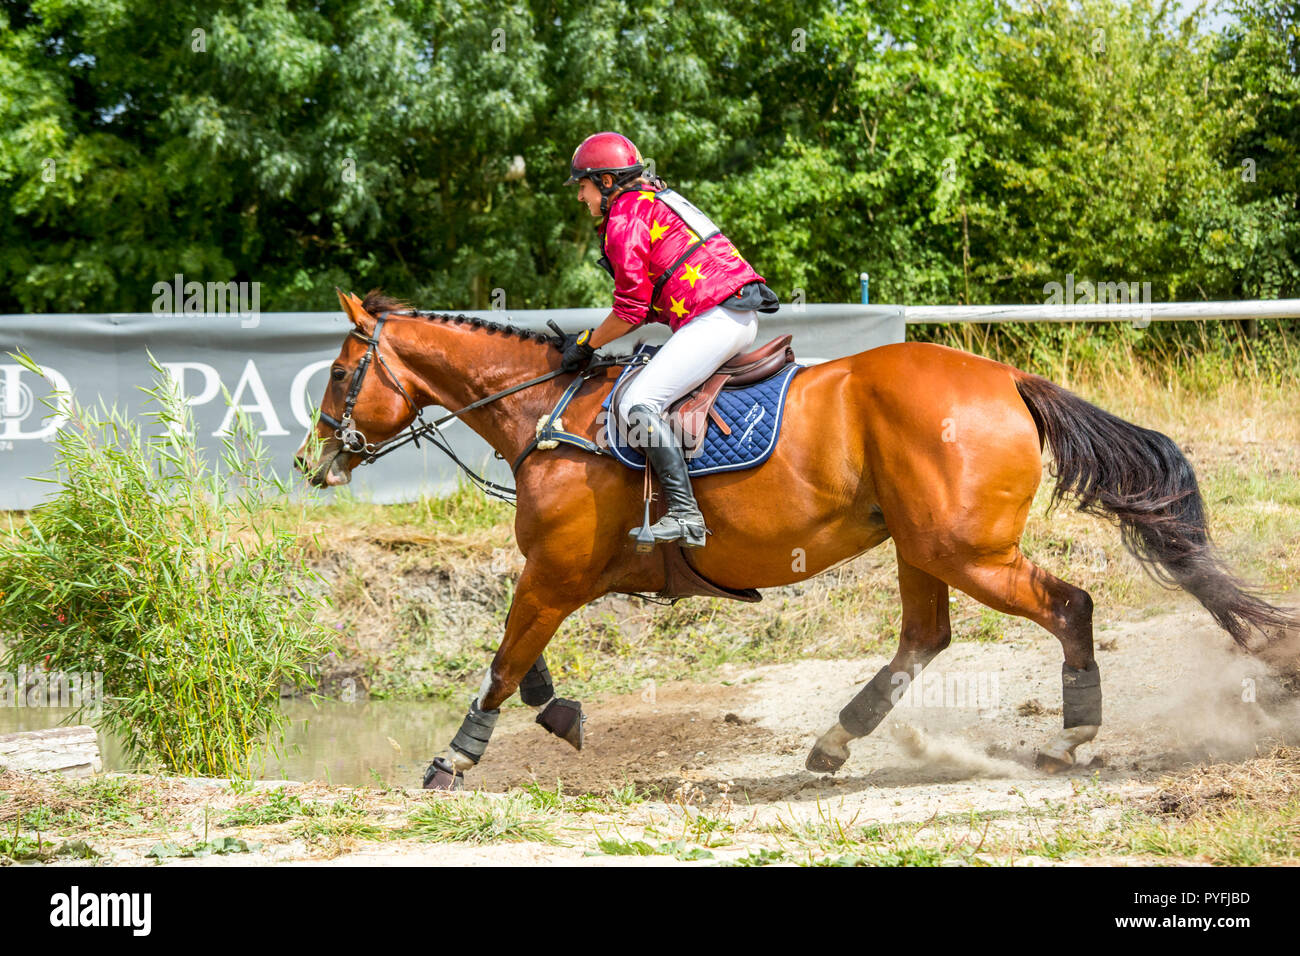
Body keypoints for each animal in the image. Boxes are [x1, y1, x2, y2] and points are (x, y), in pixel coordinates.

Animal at [296, 289, 1297, 790]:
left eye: (341, 373)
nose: (313, 461)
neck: (548, 416)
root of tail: (1008, 379)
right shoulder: (563, 574)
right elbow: (527, 662)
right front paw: (559, 715)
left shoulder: (556, 571)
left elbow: (505, 660)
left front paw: (454, 757)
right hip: (922, 547)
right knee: (923, 638)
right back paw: (834, 743)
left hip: (965, 550)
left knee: (1068, 604)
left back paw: (1074, 734)